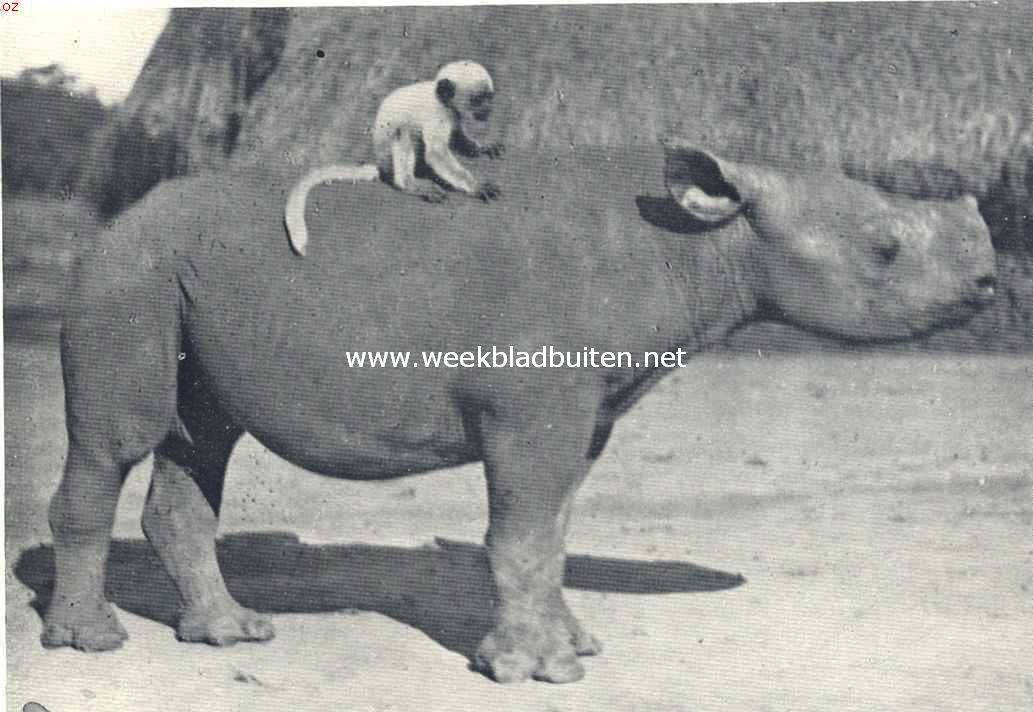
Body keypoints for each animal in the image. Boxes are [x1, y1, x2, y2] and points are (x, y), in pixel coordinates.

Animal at [42, 140, 996, 683]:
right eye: (884, 251)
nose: (990, 283)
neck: (701, 241)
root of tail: (114, 218)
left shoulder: (587, 407)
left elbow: (554, 529)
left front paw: (575, 646)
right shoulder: (533, 402)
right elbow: (523, 530)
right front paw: (537, 673)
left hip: (182, 272)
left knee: (201, 440)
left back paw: (231, 637)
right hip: (126, 270)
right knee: (117, 440)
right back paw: (94, 644)